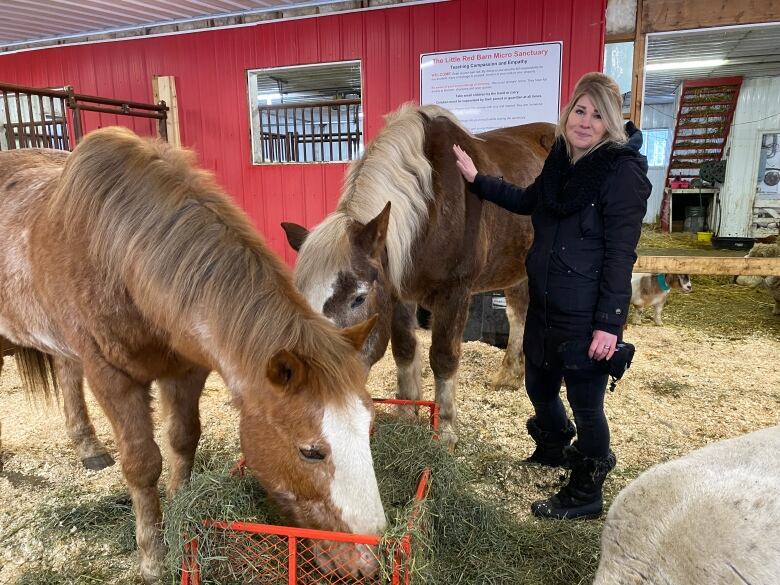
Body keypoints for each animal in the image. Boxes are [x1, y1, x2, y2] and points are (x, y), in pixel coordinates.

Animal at [0, 130, 386, 580]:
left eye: (370, 427)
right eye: (310, 451)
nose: (367, 564)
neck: (119, 256)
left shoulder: (186, 370)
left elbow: (183, 440)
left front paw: (184, 518)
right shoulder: (110, 375)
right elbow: (143, 463)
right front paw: (153, 558)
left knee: (65, 371)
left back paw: (89, 448)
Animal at [284, 104, 552, 448]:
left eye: (359, 297)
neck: (432, 209)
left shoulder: (455, 293)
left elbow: (443, 356)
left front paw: (446, 429)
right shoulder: (398, 293)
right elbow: (404, 348)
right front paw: (407, 411)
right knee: (518, 314)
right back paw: (509, 377)